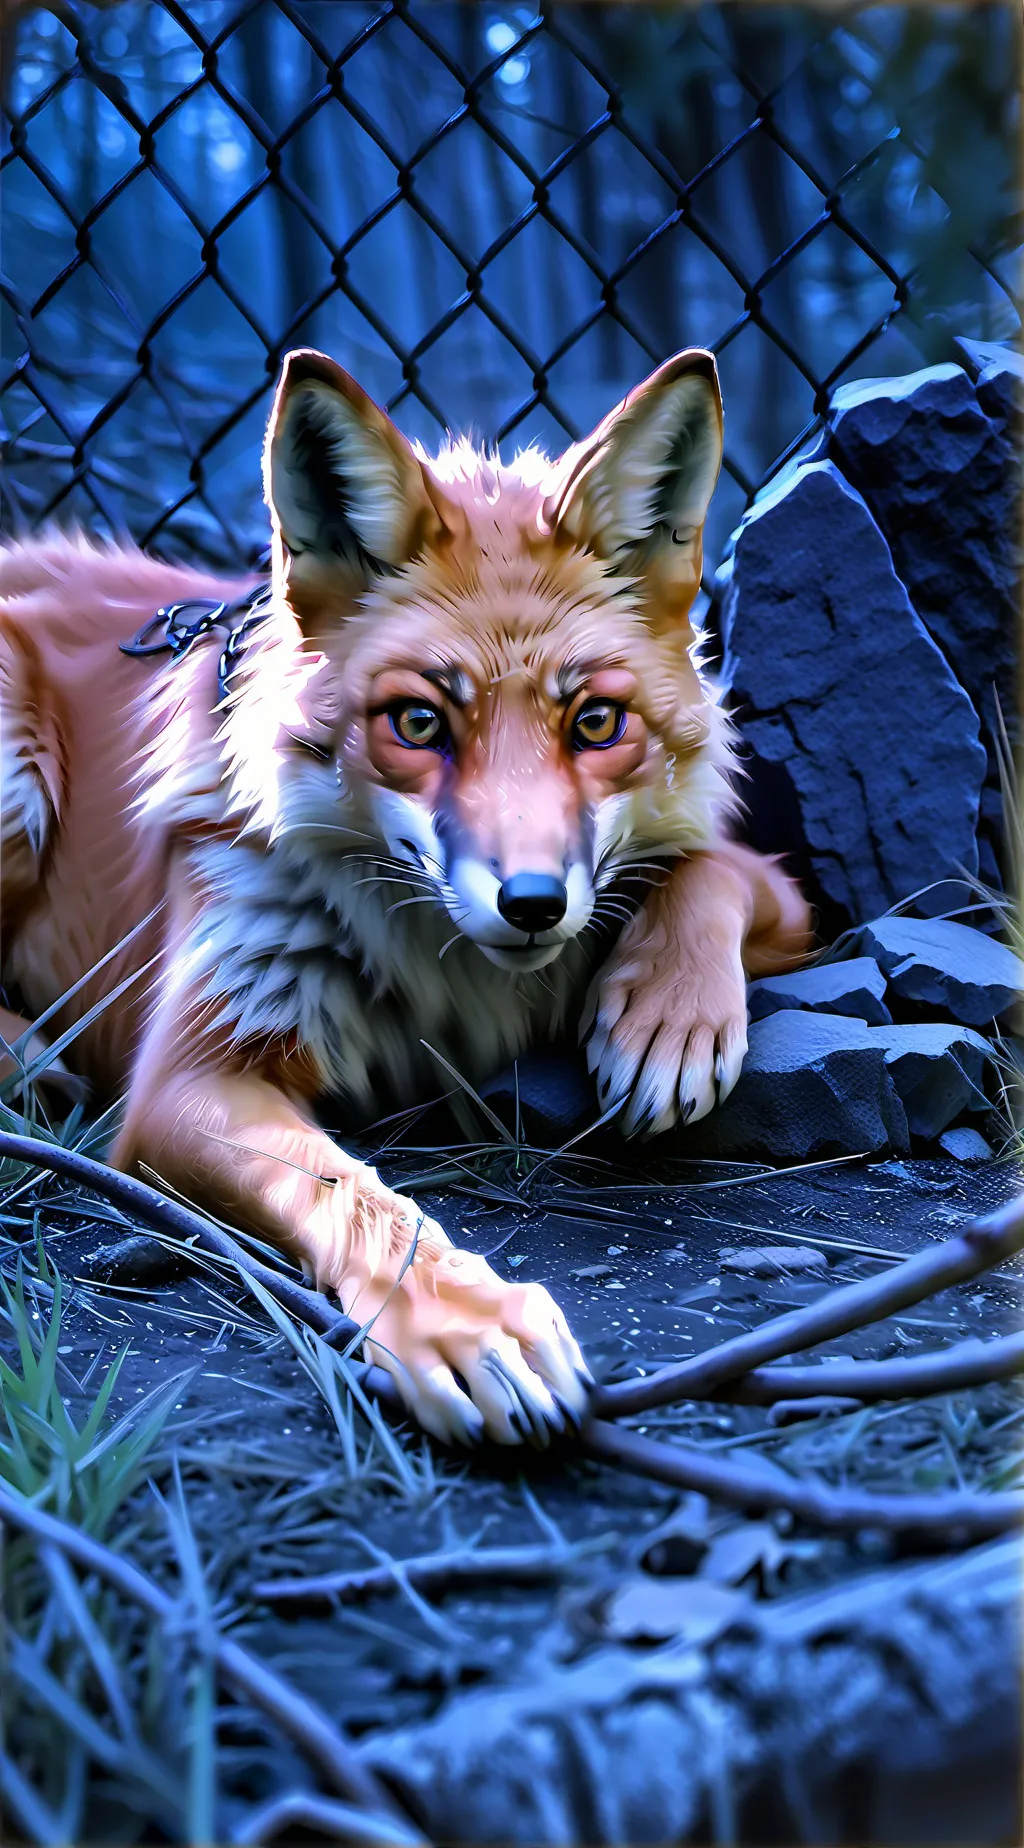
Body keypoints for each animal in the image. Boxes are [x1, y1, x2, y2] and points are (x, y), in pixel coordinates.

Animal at [0, 345, 811, 1446]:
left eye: (597, 723)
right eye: (418, 724)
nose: (531, 903)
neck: (456, 984)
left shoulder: (780, 888)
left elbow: (707, 869)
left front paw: (667, 1016)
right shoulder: (185, 1076)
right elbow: (352, 1194)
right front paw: (470, 1324)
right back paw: (24, 1055)